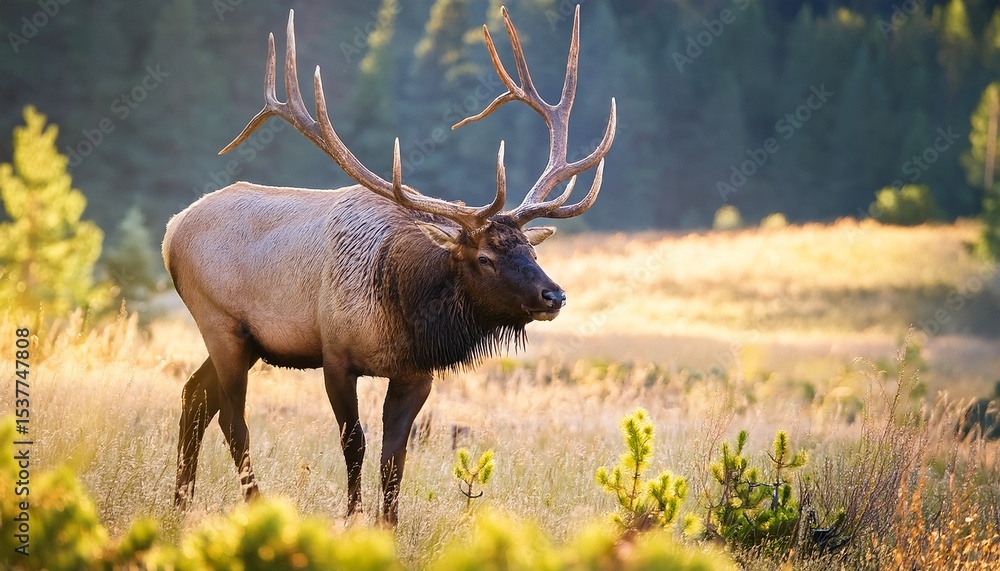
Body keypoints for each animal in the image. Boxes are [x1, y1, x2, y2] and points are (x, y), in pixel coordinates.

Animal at [162, 5, 615, 525]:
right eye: (484, 257)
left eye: (532, 251)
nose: (553, 295)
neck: (403, 307)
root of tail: (171, 230)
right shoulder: (336, 356)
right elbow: (354, 444)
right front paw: (352, 517)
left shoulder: (415, 373)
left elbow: (394, 457)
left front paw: (389, 524)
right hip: (219, 323)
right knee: (233, 420)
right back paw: (251, 503)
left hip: (248, 340)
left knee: (194, 397)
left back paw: (180, 502)